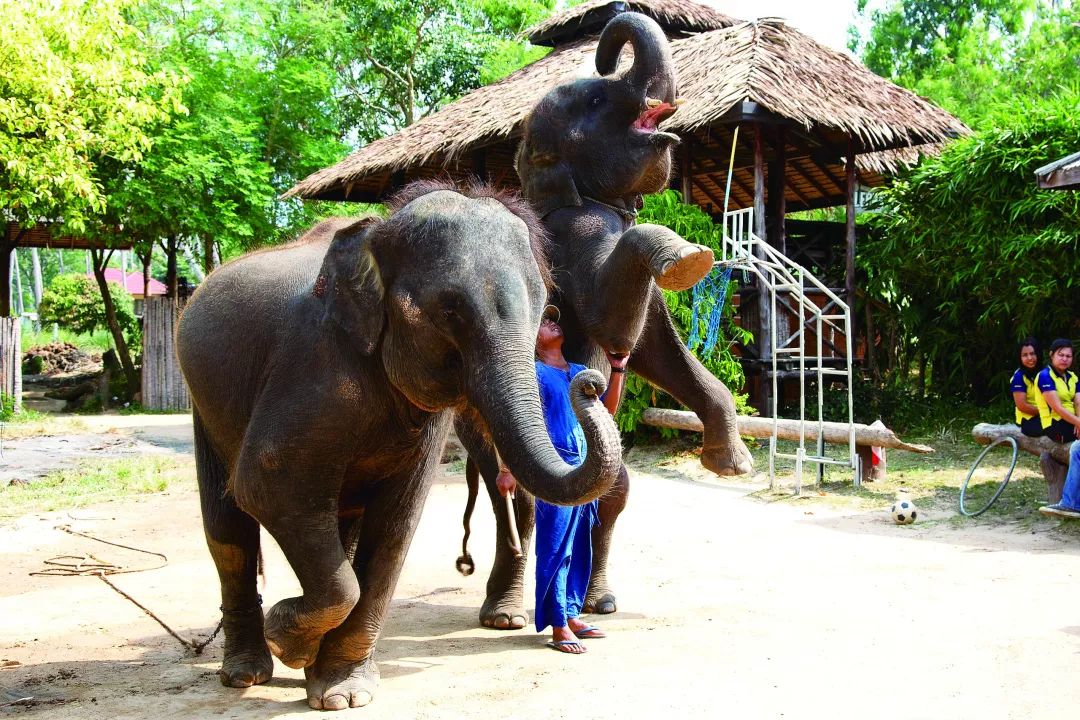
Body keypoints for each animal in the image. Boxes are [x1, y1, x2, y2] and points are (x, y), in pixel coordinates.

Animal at [172, 183, 622, 712]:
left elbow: (396, 523)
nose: (591, 381)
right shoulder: (311, 364)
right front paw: (290, 642)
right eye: (450, 309)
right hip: (202, 401)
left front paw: (342, 693)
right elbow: (267, 485)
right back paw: (247, 673)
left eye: (542, 305)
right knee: (228, 527)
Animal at [460, 11, 756, 630]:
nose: (602, 51)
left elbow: (653, 351)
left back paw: (600, 601)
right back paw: (506, 614)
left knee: (609, 487)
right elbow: (608, 320)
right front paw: (690, 259)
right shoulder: (576, 237)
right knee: (514, 493)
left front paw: (732, 465)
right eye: (597, 98)